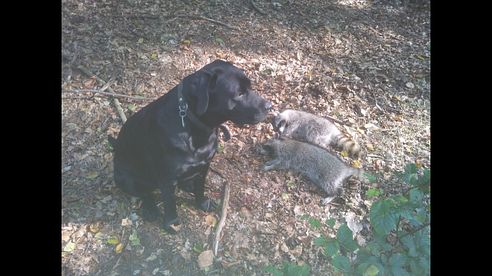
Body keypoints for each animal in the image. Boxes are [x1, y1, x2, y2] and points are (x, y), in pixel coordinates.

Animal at [107, 60, 270, 233]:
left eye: (250, 87)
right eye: (239, 93)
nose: (270, 106)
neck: (195, 127)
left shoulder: (205, 165)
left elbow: (200, 188)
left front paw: (202, 203)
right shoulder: (167, 179)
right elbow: (170, 204)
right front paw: (172, 223)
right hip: (126, 179)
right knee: (145, 193)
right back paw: (150, 209)